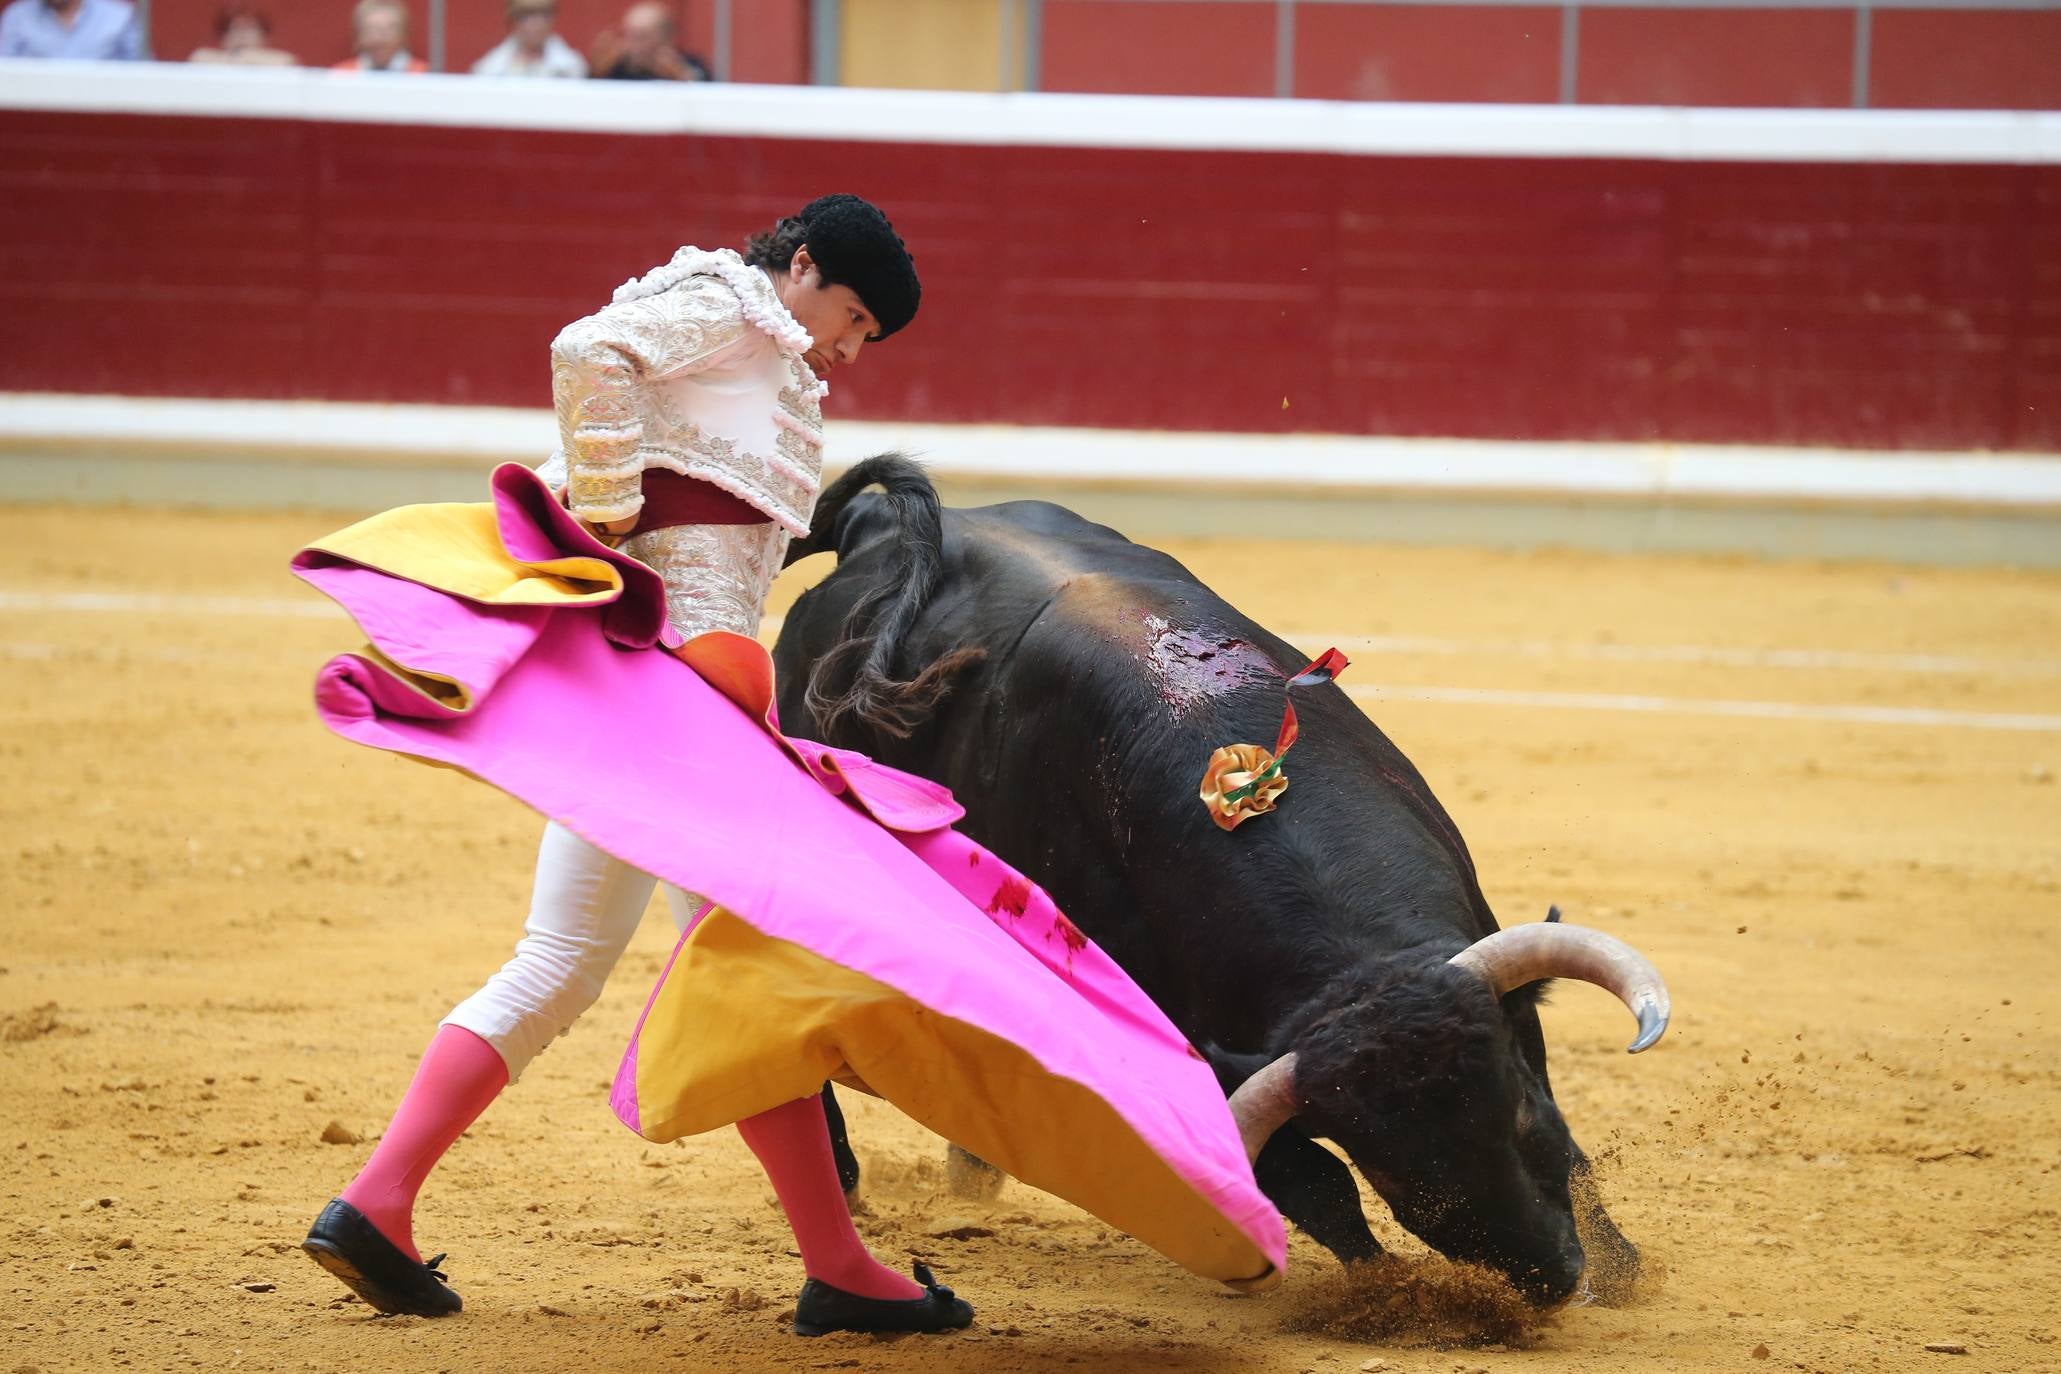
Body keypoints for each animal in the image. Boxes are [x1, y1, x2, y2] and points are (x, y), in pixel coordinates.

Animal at [774, 459, 1673, 1301]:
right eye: (1394, 1170)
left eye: (1519, 1110)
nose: (1553, 1276)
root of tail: (876, 527)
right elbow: (1313, 1184)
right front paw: (1381, 1294)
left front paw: (1621, 1270)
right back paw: (848, 1185)